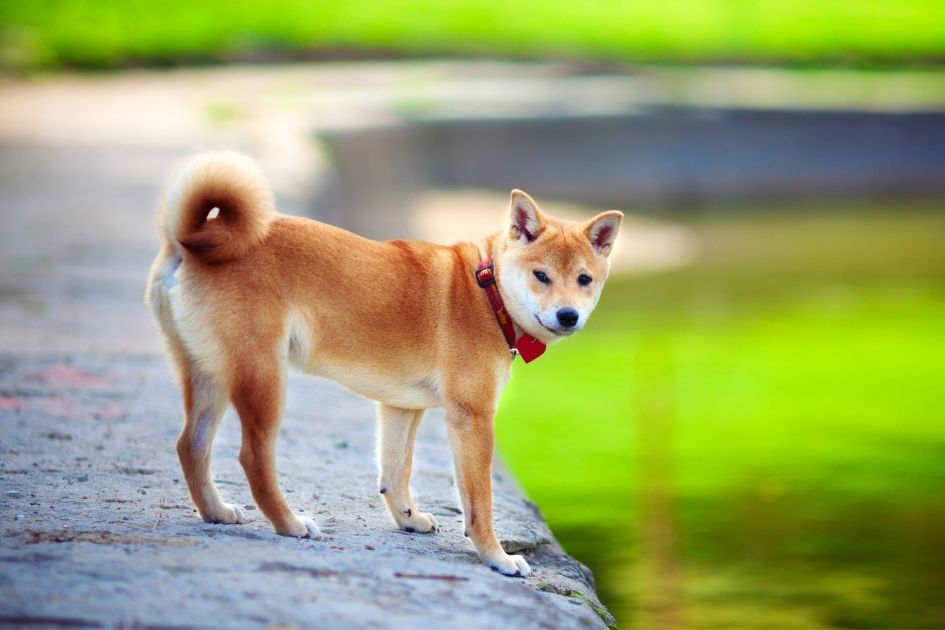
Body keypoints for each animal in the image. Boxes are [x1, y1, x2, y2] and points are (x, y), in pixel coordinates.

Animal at [146, 152, 620, 576]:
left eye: (584, 280)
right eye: (541, 276)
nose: (568, 316)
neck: (487, 291)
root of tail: (187, 242)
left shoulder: (401, 408)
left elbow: (395, 472)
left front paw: (409, 519)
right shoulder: (472, 418)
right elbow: (478, 503)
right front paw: (497, 557)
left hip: (208, 374)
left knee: (190, 446)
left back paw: (216, 512)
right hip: (262, 377)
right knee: (252, 458)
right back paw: (290, 523)